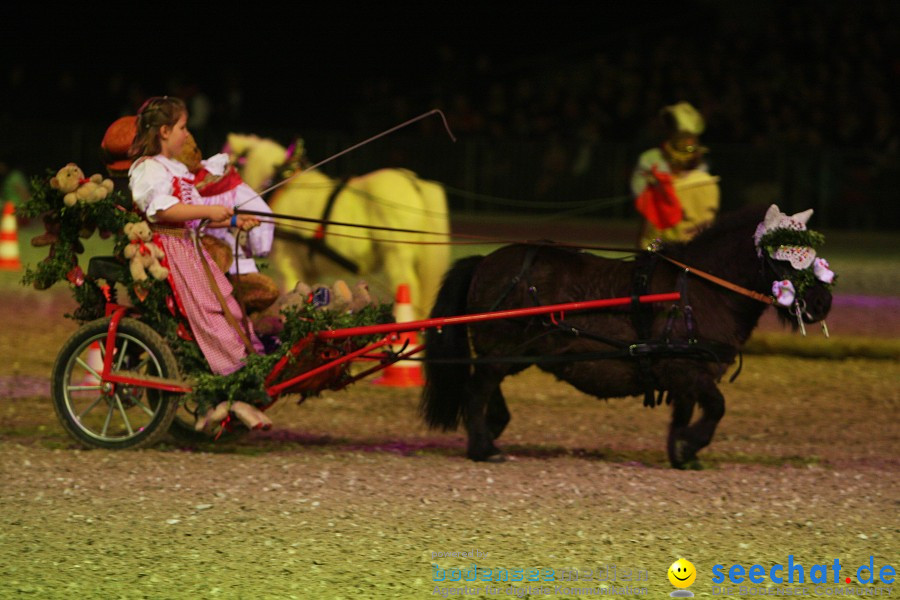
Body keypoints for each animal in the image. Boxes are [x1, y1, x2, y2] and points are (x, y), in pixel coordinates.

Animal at [418, 206, 832, 468]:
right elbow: (716, 407)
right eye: (789, 257)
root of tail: (484, 262)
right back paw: (483, 448)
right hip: (503, 349)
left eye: (814, 255)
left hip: (512, 354)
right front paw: (692, 444)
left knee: (486, 387)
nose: (822, 302)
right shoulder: (687, 370)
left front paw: (680, 452)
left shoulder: (684, 372)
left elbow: (683, 414)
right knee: (476, 390)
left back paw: (493, 428)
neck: (699, 289)